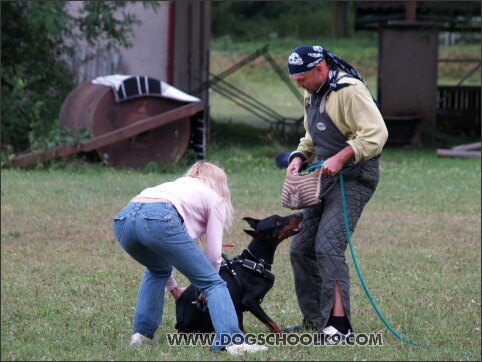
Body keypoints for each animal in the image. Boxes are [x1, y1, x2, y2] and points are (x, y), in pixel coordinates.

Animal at [172, 212, 302, 334]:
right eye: (277, 222)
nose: (300, 214)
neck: (256, 260)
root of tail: (180, 324)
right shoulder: (249, 301)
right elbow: (271, 323)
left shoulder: (238, 305)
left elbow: (240, 321)